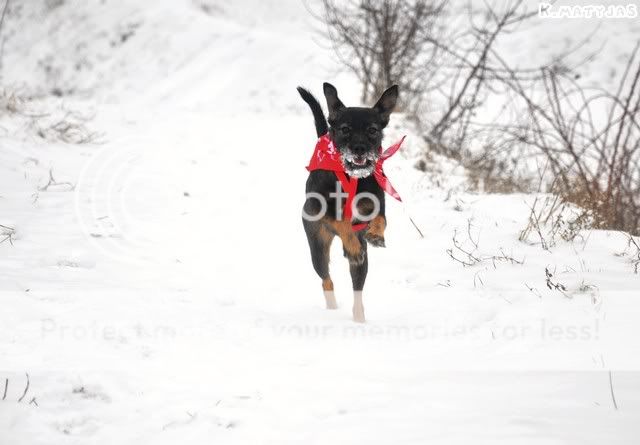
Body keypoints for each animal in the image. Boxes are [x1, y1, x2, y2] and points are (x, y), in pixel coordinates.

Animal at [297, 82, 399, 322]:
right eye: (345, 129)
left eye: (372, 130)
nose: (359, 148)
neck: (353, 177)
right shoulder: (324, 213)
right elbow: (342, 223)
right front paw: (352, 241)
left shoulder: (376, 206)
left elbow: (381, 220)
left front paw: (376, 235)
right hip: (317, 246)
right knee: (326, 279)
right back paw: (332, 306)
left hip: (360, 267)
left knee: (357, 288)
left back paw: (359, 318)